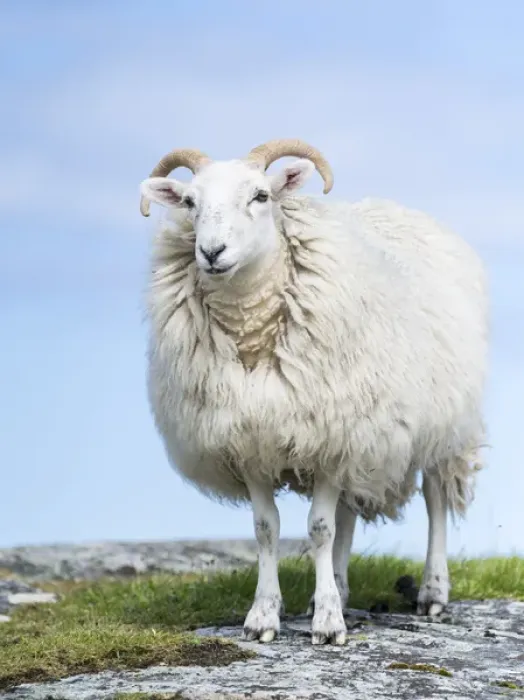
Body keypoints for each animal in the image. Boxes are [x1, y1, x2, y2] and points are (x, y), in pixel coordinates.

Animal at [139, 138, 489, 646]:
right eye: (188, 202)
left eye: (261, 195)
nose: (212, 251)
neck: (251, 326)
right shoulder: (254, 441)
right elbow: (267, 529)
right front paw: (266, 615)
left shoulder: (328, 437)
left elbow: (319, 529)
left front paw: (327, 623)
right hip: (358, 435)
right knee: (347, 513)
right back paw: (339, 586)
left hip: (441, 427)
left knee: (435, 499)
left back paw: (432, 592)